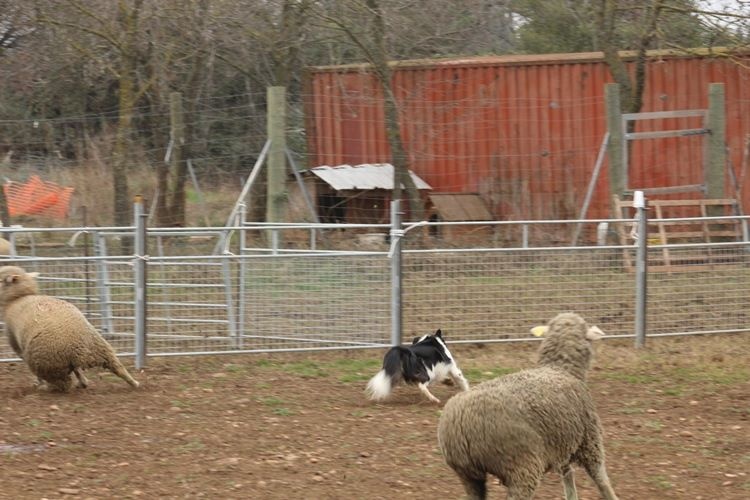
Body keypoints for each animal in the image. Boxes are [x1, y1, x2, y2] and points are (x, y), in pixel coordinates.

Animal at [1, 264, 141, 392]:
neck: (17, 299)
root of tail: (79, 347)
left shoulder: (18, 346)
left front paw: (38, 383)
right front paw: (83, 382)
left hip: (48, 365)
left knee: (63, 384)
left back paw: (45, 388)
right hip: (100, 350)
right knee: (117, 367)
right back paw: (134, 383)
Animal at [438, 310, 620, 498]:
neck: (560, 368)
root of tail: (460, 424)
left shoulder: (561, 443)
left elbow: (568, 478)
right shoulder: (590, 441)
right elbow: (601, 481)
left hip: (468, 475)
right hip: (521, 467)